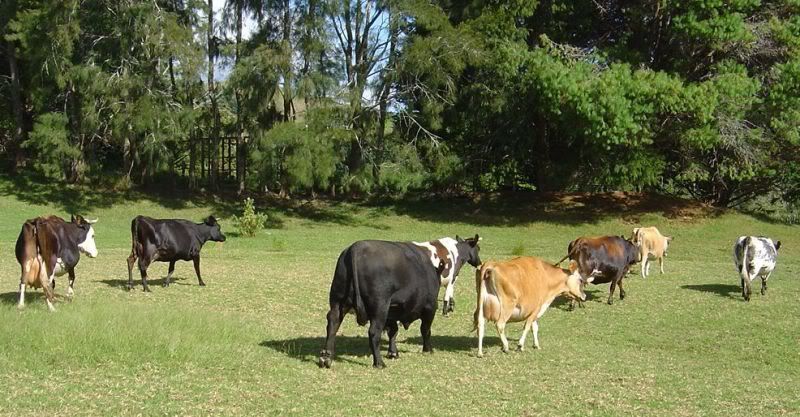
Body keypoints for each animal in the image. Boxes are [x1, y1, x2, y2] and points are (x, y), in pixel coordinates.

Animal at [318, 235, 481, 369]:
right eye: (478, 249)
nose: (479, 263)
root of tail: (356, 247)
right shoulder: (430, 306)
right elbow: (425, 329)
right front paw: (427, 349)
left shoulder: (392, 309)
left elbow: (393, 331)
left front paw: (393, 352)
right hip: (379, 307)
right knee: (373, 332)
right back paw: (379, 363)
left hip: (338, 302)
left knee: (333, 324)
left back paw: (326, 357)